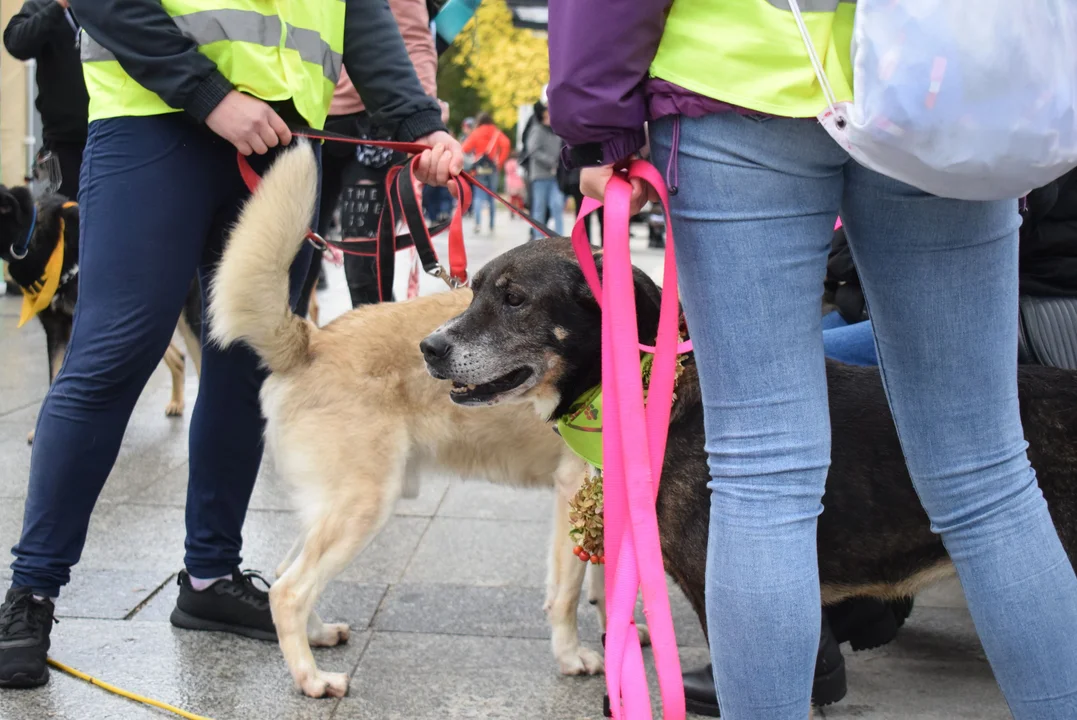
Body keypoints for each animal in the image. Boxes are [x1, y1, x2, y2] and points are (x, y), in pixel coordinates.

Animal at [210, 143, 616, 697]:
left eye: (512, 299)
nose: (432, 349)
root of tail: (314, 339)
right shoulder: (575, 487)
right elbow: (569, 593)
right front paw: (573, 656)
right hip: (362, 504)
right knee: (289, 590)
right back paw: (312, 679)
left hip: (335, 504)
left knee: (284, 572)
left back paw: (317, 636)